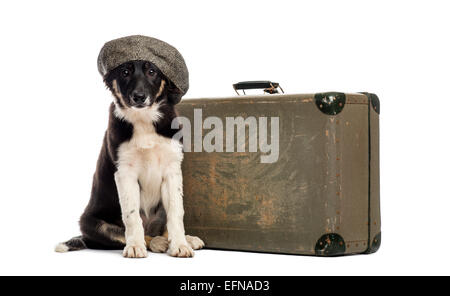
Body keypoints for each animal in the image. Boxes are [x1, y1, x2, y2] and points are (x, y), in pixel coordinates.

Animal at [55, 60, 204, 260]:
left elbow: (176, 212)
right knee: (134, 234)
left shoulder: (172, 171)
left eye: (152, 72)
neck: (144, 120)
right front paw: (135, 246)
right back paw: (156, 242)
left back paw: (184, 239)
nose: (139, 97)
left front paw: (180, 244)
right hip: (92, 224)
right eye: (125, 72)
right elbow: (132, 215)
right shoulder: (125, 172)